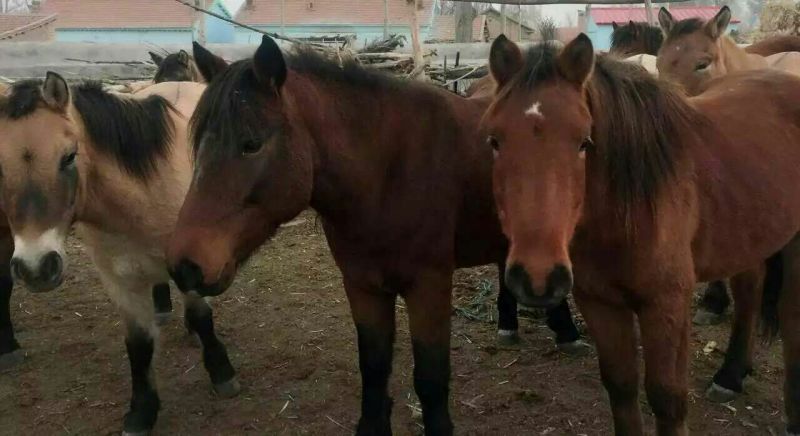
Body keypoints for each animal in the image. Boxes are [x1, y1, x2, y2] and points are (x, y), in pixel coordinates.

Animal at [0, 77, 239, 435]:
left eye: (69, 157)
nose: (36, 268)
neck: (143, 195)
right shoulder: (120, 281)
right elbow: (139, 345)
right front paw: (142, 413)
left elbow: (201, 316)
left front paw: (222, 373)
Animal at [164, 35, 589, 435]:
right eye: (198, 144)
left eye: (251, 144)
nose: (184, 265)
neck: (387, 174)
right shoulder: (362, 286)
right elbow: (373, 367)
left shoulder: (428, 287)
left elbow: (430, 378)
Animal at [483, 33, 800, 435]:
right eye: (494, 141)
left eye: (584, 141)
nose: (537, 278)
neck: (628, 216)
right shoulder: (600, 303)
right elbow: (621, 387)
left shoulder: (666, 305)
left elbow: (667, 399)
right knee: (750, 293)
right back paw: (731, 376)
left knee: (790, 315)